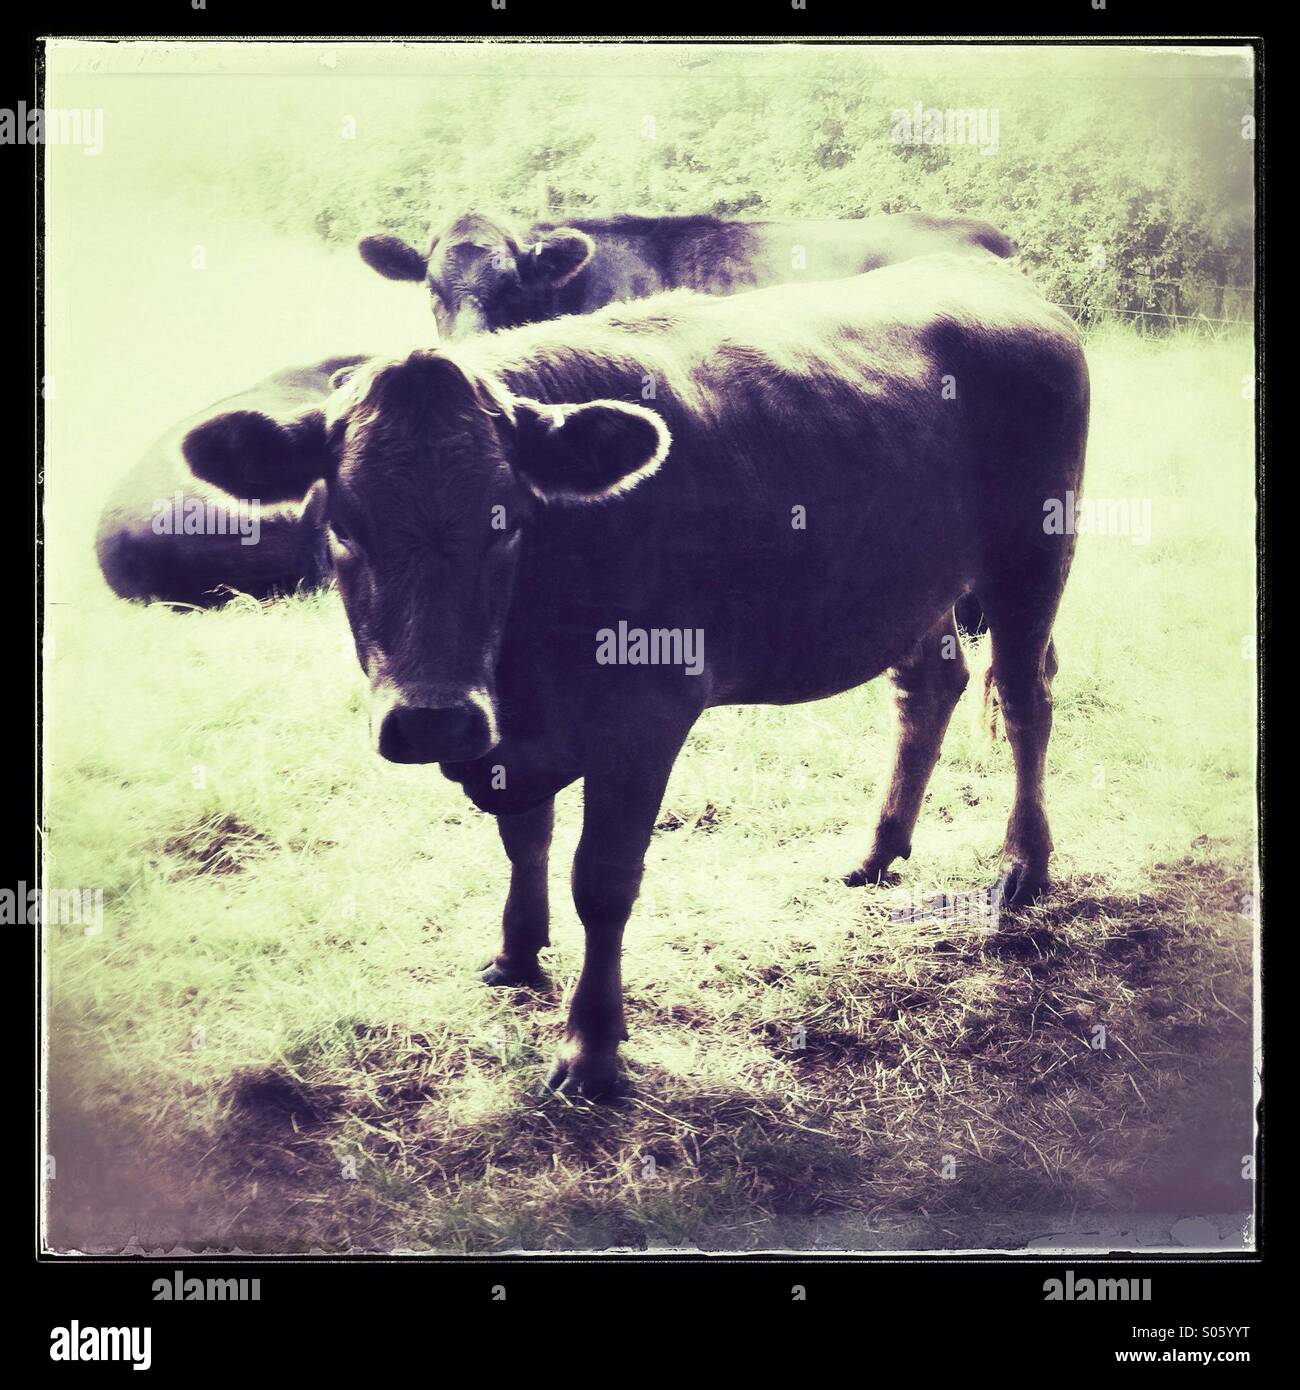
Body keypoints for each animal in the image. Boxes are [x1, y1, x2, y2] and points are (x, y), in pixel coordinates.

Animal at [182, 254, 1088, 1101]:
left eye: (505, 522)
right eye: (342, 525)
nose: (432, 718)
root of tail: (989, 276)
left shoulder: (646, 716)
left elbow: (603, 881)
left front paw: (591, 1048)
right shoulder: (511, 737)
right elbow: (525, 840)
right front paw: (516, 953)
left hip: (1032, 552)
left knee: (1024, 695)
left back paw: (1022, 866)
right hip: (910, 583)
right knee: (929, 687)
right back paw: (877, 851)